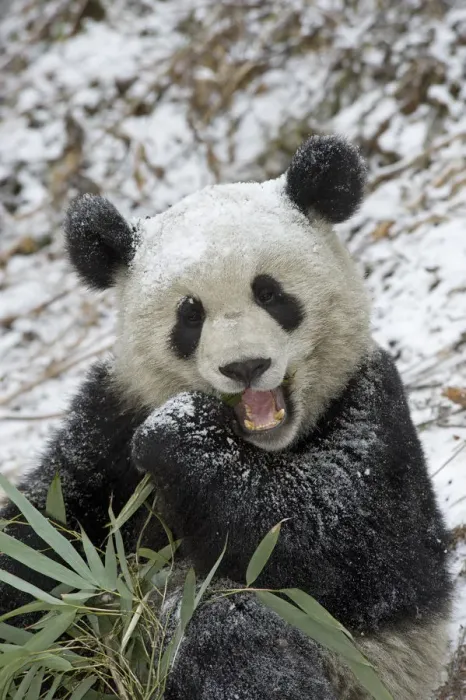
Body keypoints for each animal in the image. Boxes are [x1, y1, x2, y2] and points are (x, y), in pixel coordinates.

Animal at [0, 135, 452, 699]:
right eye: (189, 314)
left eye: (271, 293)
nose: (245, 366)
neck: (261, 448)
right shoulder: (110, 419)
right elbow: (45, 536)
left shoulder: (374, 413)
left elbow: (339, 543)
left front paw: (179, 433)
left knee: (227, 626)